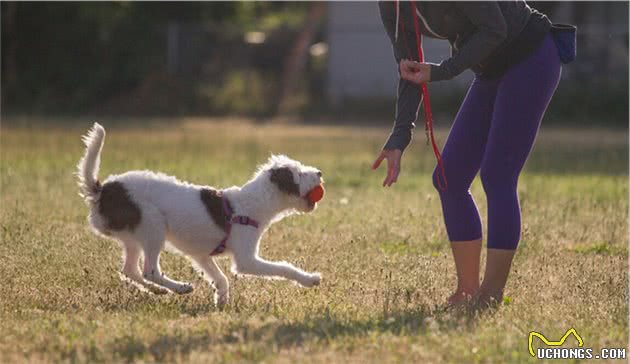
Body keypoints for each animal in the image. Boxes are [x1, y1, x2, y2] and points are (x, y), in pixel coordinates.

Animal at [78, 123, 326, 306]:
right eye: (300, 174)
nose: (320, 172)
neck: (249, 203)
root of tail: (102, 190)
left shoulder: (201, 255)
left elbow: (221, 278)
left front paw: (221, 301)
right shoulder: (246, 260)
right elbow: (284, 268)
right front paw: (310, 279)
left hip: (132, 237)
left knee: (130, 270)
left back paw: (158, 291)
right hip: (152, 224)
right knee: (149, 270)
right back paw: (180, 288)